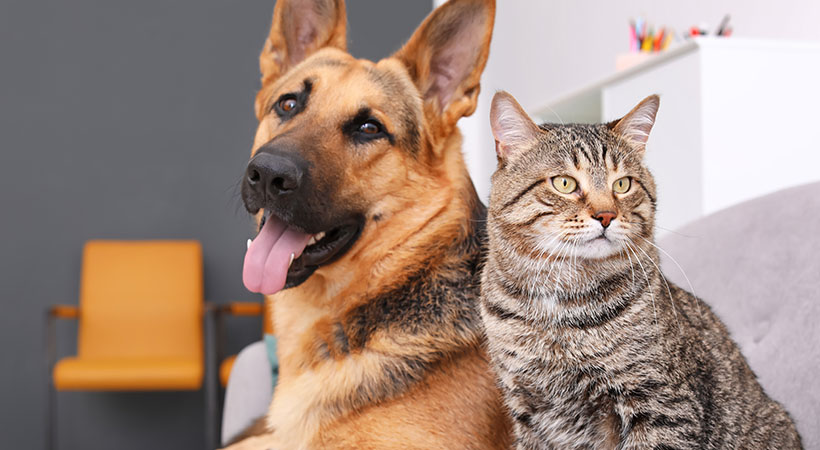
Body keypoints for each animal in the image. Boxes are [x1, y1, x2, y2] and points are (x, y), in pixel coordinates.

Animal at [480, 92, 800, 450]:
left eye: (622, 184)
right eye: (564, 183)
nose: (606, 215)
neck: (558, 305)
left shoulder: (660, 404)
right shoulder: (528, 412)